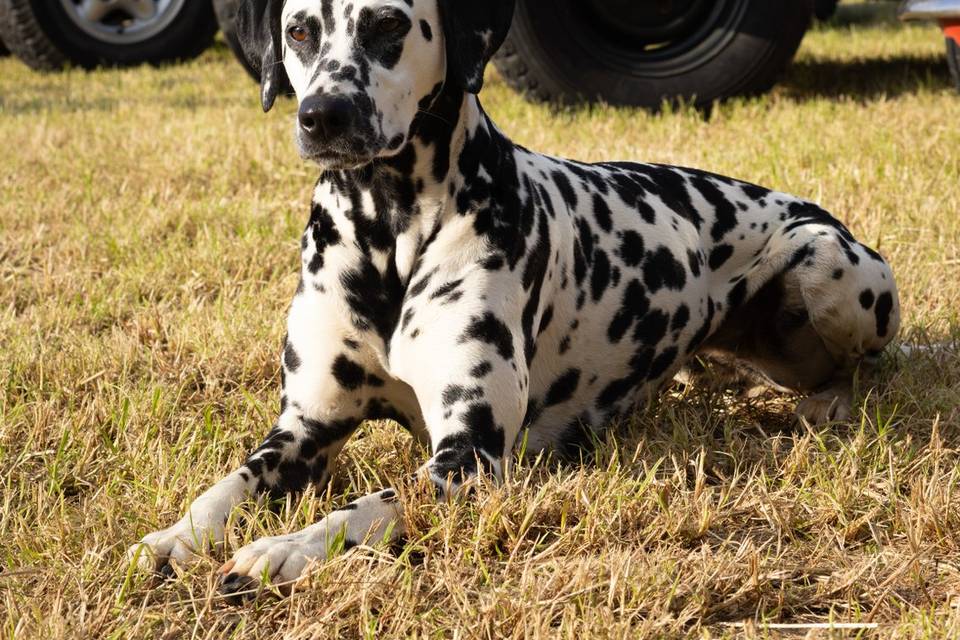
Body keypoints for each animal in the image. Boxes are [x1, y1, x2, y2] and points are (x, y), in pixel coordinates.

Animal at [127, 0, 900, 600]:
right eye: (300, 31)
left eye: (388, 24)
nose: (323, 115)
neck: (388, 231)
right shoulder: (304, 427)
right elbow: (227, 483)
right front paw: (174, 536)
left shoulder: (470, 457)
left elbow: (370, 504)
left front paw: (286, 549)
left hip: (826, 264)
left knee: (864, 364)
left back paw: (828, 403)